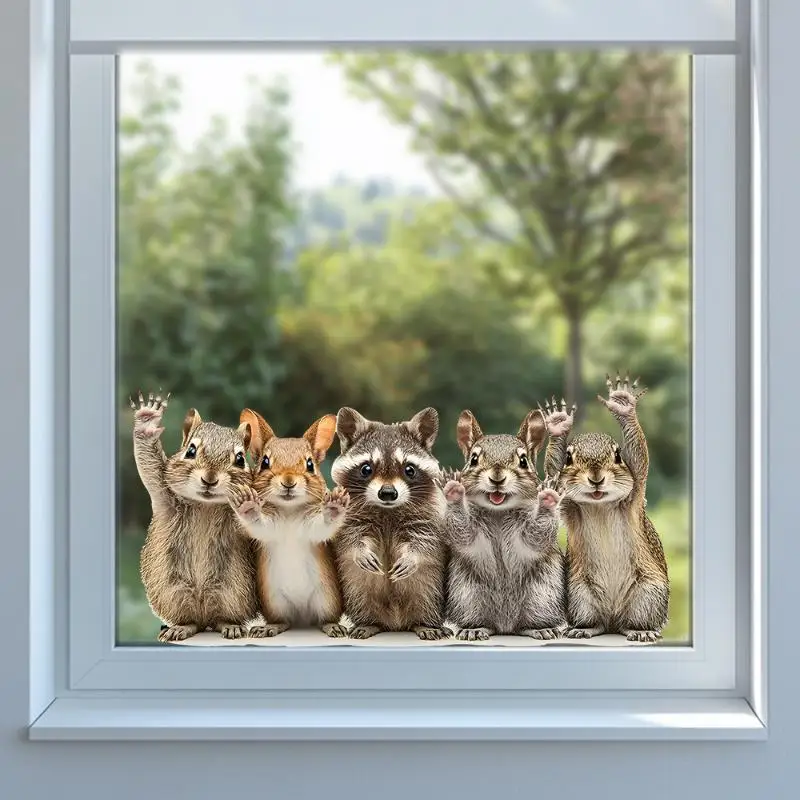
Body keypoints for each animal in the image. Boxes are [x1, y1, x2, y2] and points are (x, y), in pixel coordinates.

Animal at [132, 391, 259, 642]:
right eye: (190, 450)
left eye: (240, 459)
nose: (210, 479)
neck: (205, 506)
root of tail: (204, 614)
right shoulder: (164, 495)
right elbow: (150, 468)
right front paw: (147, 420)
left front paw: (247, 503)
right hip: (173, 593)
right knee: (191, 620)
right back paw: (181, 628)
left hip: (233, 592)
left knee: (222, 617)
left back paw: (230, 626)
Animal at [226, 409, 349, 639]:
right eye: (265, 462)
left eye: (310, 464)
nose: (289, 481)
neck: (289, 510)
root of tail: (302, 618)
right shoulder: (270, 528)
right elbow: (258, 524)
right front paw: (247, 505)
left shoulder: (311, 529)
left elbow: (322, 526)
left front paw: (334, 505)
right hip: (274, 602)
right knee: (284, 621)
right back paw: (270, 627)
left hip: (327, 599)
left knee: (325, 619)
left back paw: (332, 626)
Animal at [330, 406, 450, 641]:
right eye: (366, 469)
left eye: (409, 469)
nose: (387, 493)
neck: (387, 510)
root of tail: (395, 624)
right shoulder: (348, 516)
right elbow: (350, 538)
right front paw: (360, 550)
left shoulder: (429, 517)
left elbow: (425, 541)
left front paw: (412, 556)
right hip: (356, 589)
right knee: (360, 595)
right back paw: (369, 623)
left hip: (431, 589)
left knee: (427, 596)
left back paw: (425, 624)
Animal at [439, 409, 567, 641]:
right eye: (473, 459)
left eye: (523, 460)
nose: (497, 477)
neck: (498, 512)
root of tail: (505, 626)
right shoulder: (469, 530)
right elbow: (462, 531)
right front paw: (453, 490)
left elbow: (537, 536)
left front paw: (548, 497)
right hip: (466, 595)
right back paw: (474, 629)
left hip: (543, 595)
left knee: (529, 621)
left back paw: (540, 628)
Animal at [542, 377, 670, 643]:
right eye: (568, 459)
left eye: (618, 455)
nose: (596, 479)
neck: (599, 505)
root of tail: (613, 618)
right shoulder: (570, 507)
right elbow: (552, 473)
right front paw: (558, 427)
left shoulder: (635, 493)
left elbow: (639, 458)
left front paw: (624, 406)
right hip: (580, 594)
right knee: (597, 622)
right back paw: (584, 628)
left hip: (649, 593)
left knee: (632, 621)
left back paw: (640, 631)